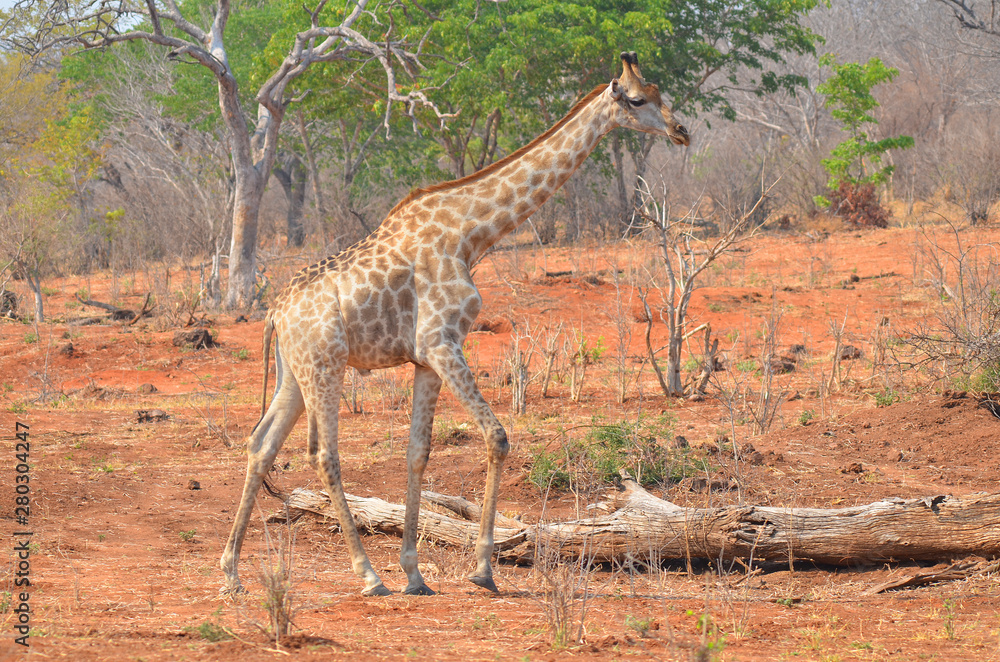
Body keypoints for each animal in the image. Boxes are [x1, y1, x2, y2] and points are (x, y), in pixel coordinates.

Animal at [220, 51, 690, 597]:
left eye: (658, 93)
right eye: (636, 100)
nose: (681, 130)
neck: (471, 234)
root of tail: (276, 312)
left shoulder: (426, 359)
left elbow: (417, 453)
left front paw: (415, 573)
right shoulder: (442, 343)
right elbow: (497, 436)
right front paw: (482, 569)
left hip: (293, 374)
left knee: (261, 445)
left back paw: (231, 572)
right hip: (324, 366)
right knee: (323, 455)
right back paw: (368, 575)